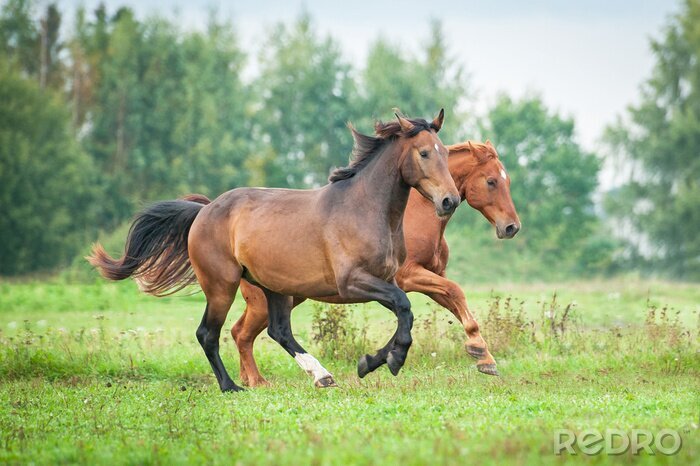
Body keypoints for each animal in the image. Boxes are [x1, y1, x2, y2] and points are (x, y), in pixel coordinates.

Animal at [87, 111, 460, 392]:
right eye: (424, 153)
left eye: (444, 151)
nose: (449, 201)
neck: (365, 209)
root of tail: (204, 212)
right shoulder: (352, 282)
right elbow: (404, 307)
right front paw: (389, 360)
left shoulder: (389, 279)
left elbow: (403, 313)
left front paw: (371, 362)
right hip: (222, 287)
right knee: (209, 333)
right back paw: (232, 386)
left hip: (275, 287)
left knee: (278, 331)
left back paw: (321, 375)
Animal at [230, 141, 520, 386]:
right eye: (491, 181)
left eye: (507, 180)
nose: (511, 227)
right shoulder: (409, 276)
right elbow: (455, 292)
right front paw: (478, 350)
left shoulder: (428, 277)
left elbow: (453, 303)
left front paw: (484, 357)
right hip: (268, 302)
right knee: (244, 333)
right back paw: (256, 381)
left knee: (239, 332)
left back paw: (249, 379)